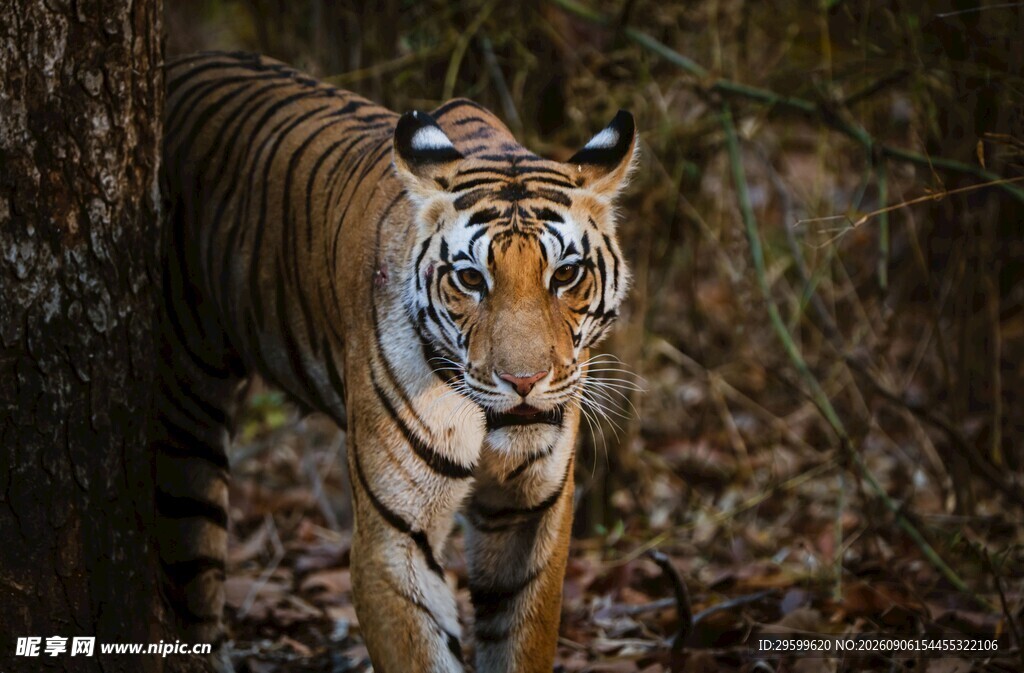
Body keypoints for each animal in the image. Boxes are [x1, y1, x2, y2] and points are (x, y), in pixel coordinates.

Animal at [156, 51, 636, 673]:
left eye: (566, 274)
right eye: (471, 279)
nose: (524, 381)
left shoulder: (532, 515)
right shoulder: (392, 537)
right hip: (186, 424)